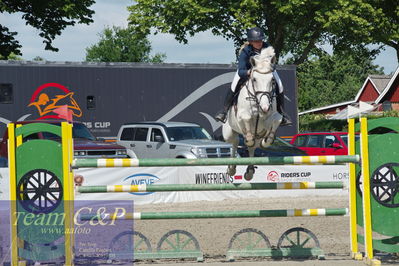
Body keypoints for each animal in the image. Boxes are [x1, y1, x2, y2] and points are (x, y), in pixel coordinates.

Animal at [223, 46, 282, 182]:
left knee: (252, 148)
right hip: (229, 132)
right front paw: (249, 139)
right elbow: (246, 118)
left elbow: (278, 119)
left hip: (257, 135)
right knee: (234, 143)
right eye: (254, 79)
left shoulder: (271, 117)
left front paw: (267, 141)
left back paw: (249, 171)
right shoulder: (241, 116)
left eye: (272, 80)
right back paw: (231, 168)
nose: (265, 107)